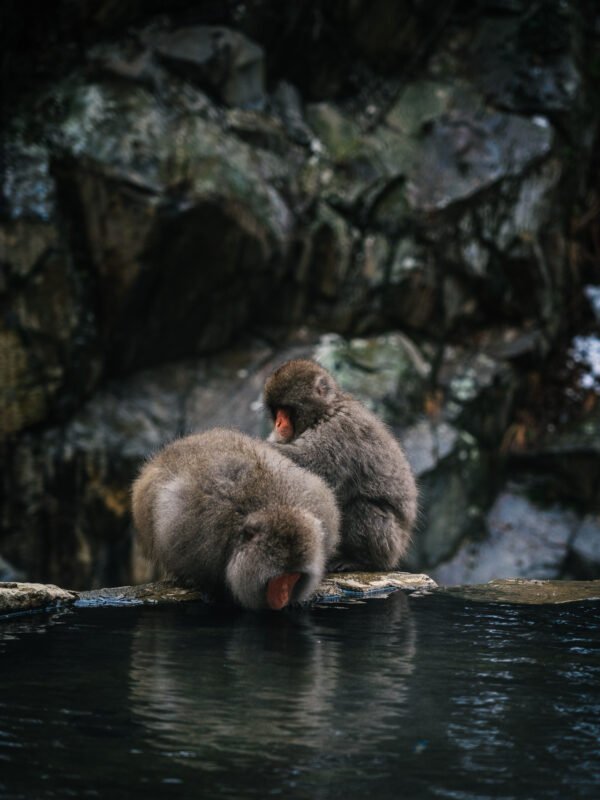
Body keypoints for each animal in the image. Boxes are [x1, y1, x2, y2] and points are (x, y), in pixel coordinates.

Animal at [263, 359, 418, 571]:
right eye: (276, 410)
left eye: (286, 409)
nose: (278, 424)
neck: (325, 410)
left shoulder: (338, 429)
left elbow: (314, 467)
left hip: (391, 542)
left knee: (362, 508)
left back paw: (362, 561)